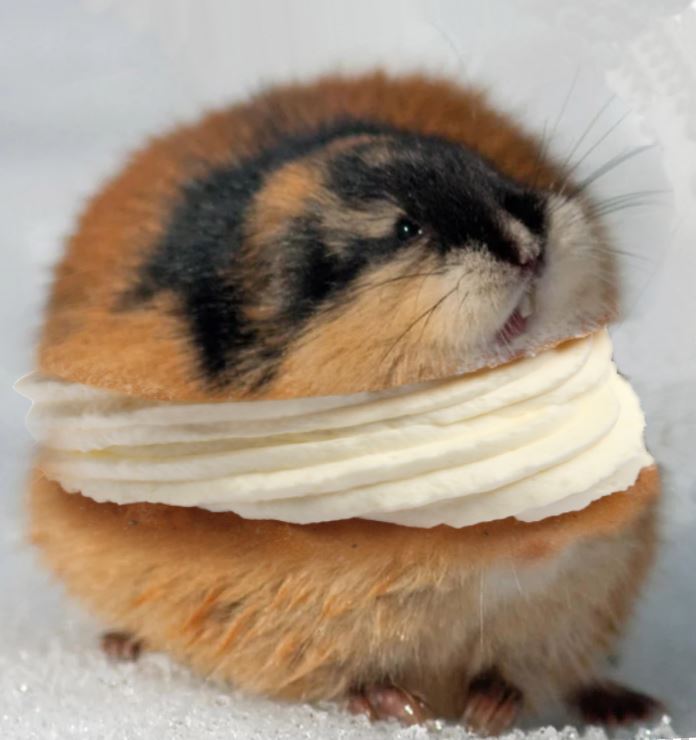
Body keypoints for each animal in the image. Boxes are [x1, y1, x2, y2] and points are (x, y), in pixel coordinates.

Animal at [28, 72, 661, 734]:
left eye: (490, 173)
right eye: (404, 227)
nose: (528, 247)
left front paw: (491, 706)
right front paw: (400, 706)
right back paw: (119, 645)